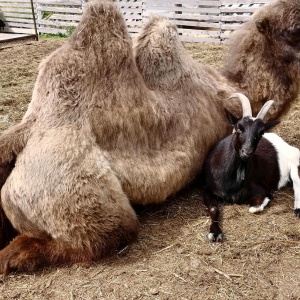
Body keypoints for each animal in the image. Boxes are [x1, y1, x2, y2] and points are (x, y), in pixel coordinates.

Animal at [204, 92, 300, 243]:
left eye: (260, 133)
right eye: (239, 128)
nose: (247, 152)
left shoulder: (262, 190)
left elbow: (254, 208)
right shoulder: (207, 189)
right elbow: (213, 208)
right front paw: (215, 233)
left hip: (295, 159)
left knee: (297, 182)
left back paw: (297, 209)